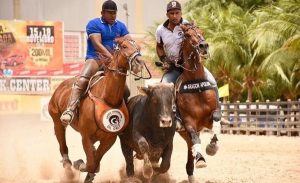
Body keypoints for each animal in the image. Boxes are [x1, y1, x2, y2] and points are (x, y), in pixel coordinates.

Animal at [47, 36, 145, 182]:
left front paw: (88, 171)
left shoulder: (109, 139)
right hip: (58, 122)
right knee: (63, 146)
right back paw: (69, 166)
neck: (106, 98)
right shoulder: (86, 136)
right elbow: (91, 162)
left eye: (138, 47)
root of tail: (60, 87)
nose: (139, 62)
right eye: (125, 47)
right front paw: (80, 164)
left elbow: (95, 160)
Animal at [175, 22, 219, 182]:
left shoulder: (210, 116)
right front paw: (200, 159)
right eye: (187, 35)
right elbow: (195, 137)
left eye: (201, 31)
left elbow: (216, 121)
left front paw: (212, 146)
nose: (203, 45)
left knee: (190, 150)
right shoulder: (189, 122)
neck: (196, 85)